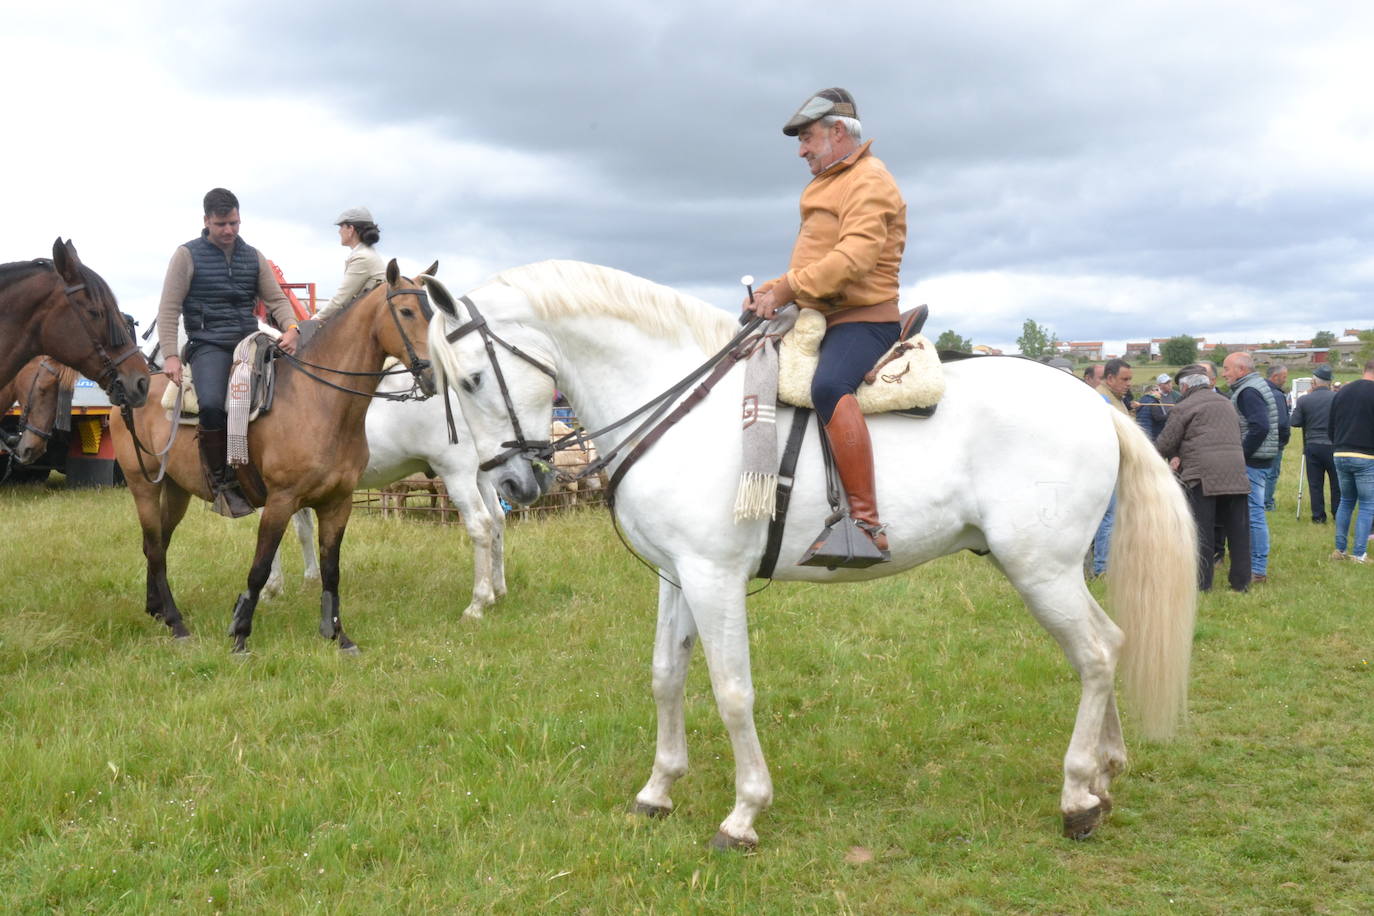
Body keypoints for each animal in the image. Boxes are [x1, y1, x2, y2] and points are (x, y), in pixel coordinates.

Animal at [111, 260, 434, 656]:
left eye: (431, 310)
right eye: (406, 311)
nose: (433, 373)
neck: (319, 400)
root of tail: (132, 393)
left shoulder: (338, 503)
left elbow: (331, 570)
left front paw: (337, 635)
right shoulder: (280, 501)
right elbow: (260, 567)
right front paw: (240, 634)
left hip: (175, 489)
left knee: (157, 542)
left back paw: (157, 608)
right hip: (142, 485)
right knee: (155, 547)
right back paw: (175, 622)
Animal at [423, 260, 1198, 851]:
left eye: (471, 380)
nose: (510, 484)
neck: (682, 409)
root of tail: (1096, 404)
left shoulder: (714, 578)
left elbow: (732, 692)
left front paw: (743, 813)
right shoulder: (678, 576)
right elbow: (666, 678)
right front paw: (658, 789)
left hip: (1040, 570)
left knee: (1095, 653)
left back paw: (1078, 797)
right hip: (1048, 571)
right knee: (1106, 646)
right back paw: (1105, 771)